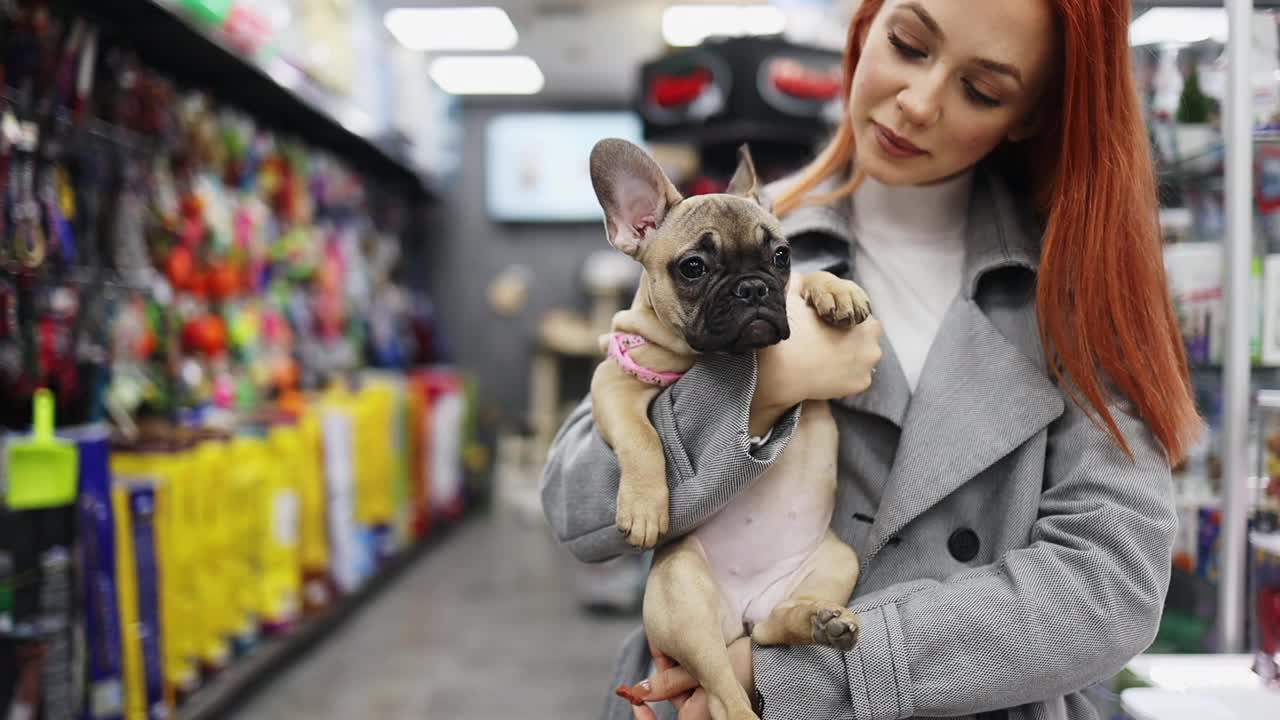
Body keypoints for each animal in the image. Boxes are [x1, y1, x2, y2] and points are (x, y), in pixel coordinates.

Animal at [593, 139, 875, 717]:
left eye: (781, 256)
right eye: (693, 267)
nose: (752, 289)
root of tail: (746, 607)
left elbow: (810, 283)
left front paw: (837, 290)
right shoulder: (614, 378)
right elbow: (641, 437)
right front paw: (645, 507)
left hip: (838, 561)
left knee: (767, 633)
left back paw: (821, 621)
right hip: (684, 593)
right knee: (724, 688)